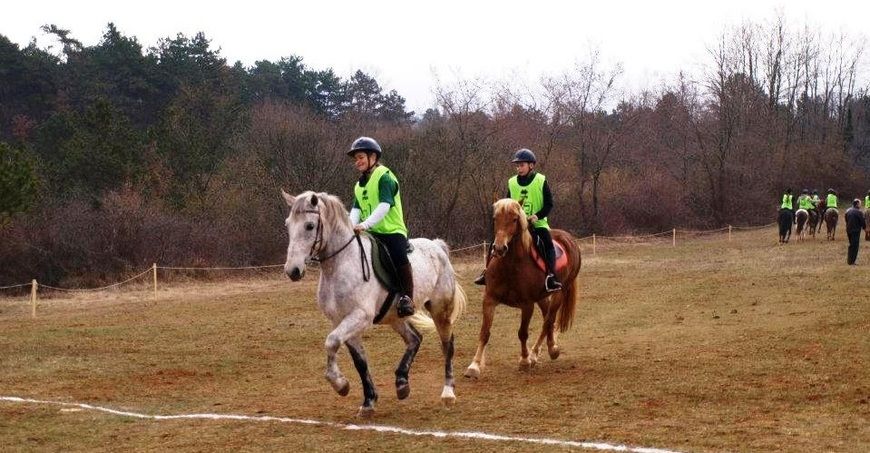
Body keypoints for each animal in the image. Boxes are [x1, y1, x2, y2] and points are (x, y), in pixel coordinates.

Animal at [282, 189, 466, 414]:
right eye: (288, 225)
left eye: (309, 225)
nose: (292, 271)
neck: (340, 264)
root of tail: (437, 246)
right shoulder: (341, 321)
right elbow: (359, 361)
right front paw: (368, 400)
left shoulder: (360, 317)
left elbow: (331, 342)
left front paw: (339, 384)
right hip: (395, 316)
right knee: (415, 338)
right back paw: (401, 383)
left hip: (440, 309)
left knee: (447, 345)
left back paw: (448, 392)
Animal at [466, 199, 584, 378]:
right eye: (495, 218)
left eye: (515, 219)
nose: (499, 248)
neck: (510, 266)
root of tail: (569, 238)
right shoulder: (489, 300)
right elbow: (484, 332)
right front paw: (474, 365)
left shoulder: (527, 305)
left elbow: (522, 333)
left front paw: (524, 360)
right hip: (542, 296)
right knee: (548, 318)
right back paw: (547, 348)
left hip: (559, 293)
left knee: (548, 321)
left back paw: (541, 352)